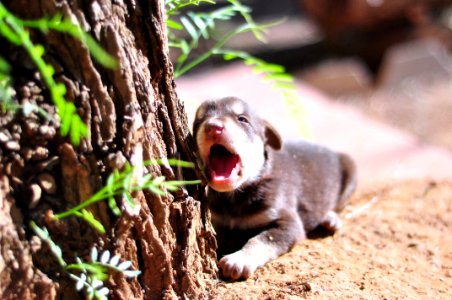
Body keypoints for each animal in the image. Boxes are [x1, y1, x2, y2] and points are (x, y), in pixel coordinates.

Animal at [193, 97, 356, 280]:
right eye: (198, 122)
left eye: (242, 119)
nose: (212, 127)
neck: (235, 197)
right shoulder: (218, 222)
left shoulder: (288, 222)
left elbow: (261, 239)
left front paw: (238, 260)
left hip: (350, 170)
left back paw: (331, 218)